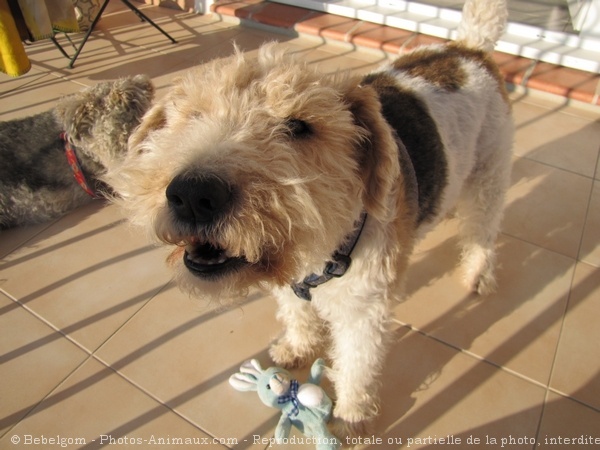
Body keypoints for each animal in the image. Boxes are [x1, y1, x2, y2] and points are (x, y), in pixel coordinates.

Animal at [105, 0, 512, 436]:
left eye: (299, 126)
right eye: (193, 114)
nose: (193, 196)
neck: (323, 252)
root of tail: (468, 49)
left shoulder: (362, 314)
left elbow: (357, 367)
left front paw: (351, 418)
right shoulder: (289, 281)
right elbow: (298, 316)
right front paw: (296, 348)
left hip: (489, 178)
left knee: (483, 233)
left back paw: (477, 275)